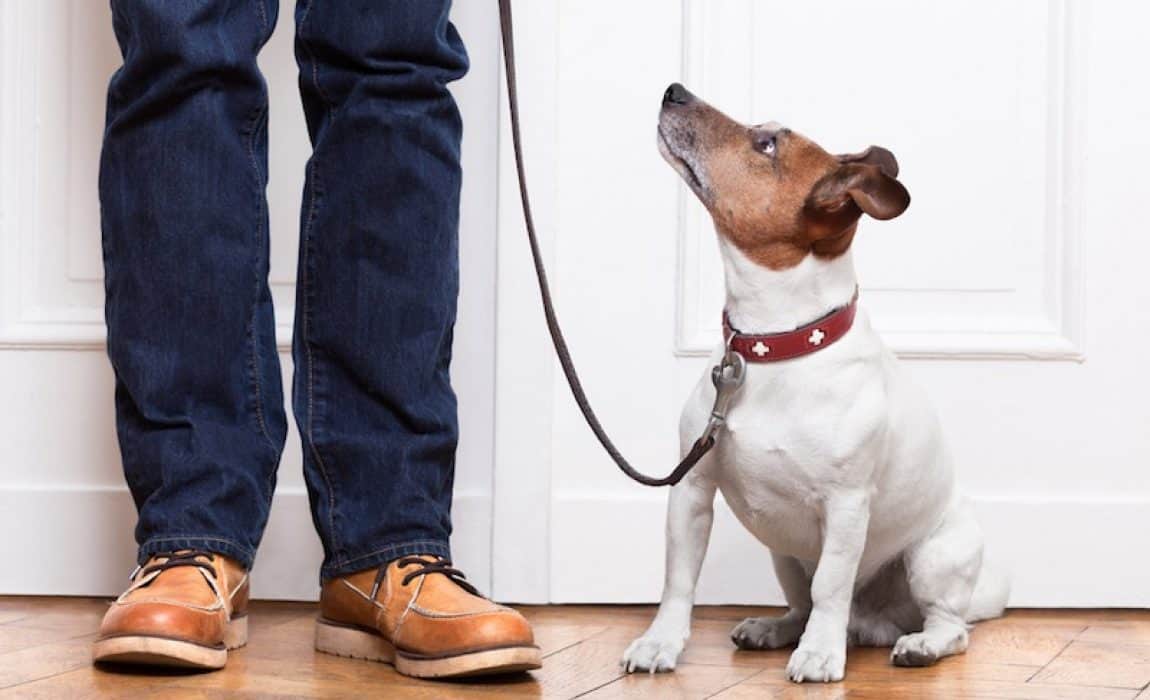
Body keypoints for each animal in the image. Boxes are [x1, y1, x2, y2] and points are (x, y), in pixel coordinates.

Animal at [625, 83, 1012, 680]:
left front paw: (820, 654)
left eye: (765, 146)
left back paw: (913, 644)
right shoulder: (691, 490)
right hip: (785, 556)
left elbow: (832, 585)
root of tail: (876, 623)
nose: (674, 90)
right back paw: (777, 628)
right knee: (802, 602)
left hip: (933, 559)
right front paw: (660, 643)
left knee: (948, 625)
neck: (774, 345)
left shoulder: (847, 506)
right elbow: (678, 580)